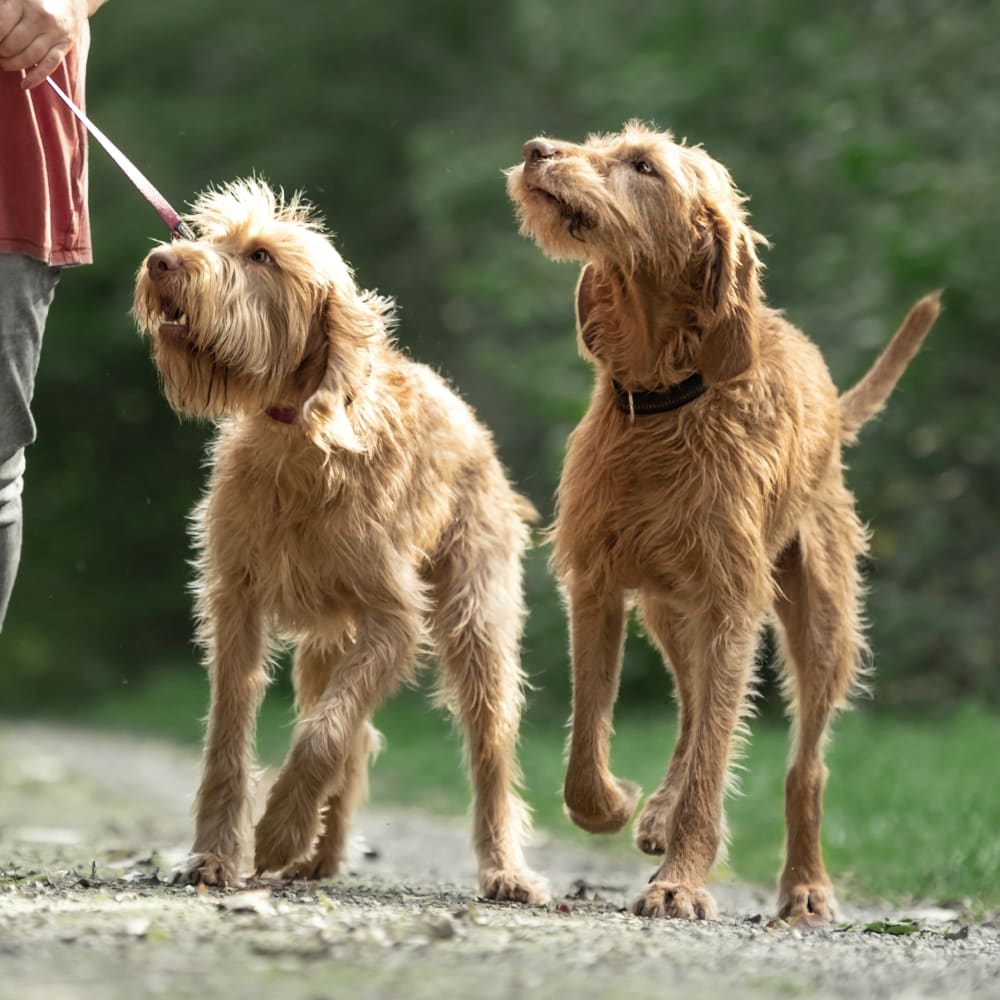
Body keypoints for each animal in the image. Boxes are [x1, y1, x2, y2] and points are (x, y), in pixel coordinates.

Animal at [132, 180, 552, 908]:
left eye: (262, 256)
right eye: (209, 238)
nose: (162, 260)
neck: (294, 436)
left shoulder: (394, 618)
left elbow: (326, 734)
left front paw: (278, 831)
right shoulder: (236, 606)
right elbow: (231, 736)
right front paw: (214, 855)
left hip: (475, 629)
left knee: (484, 752)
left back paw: (503, 870)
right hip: (327, 643)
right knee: (350, 728)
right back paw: (320, 857)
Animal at [508, 121, 936, 916]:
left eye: (643, 166)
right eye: (601, 143)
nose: (536, 151)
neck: (664, 402)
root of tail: (834, 406)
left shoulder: (732, 600)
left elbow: (715, 756)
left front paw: (682, 879)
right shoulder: (597, 585)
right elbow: (587, 744)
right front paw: (617, 806)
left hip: (819, 626)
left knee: (802, 763)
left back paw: (804, 885)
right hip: (667, 610)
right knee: (690, 707)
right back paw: (656, 813)